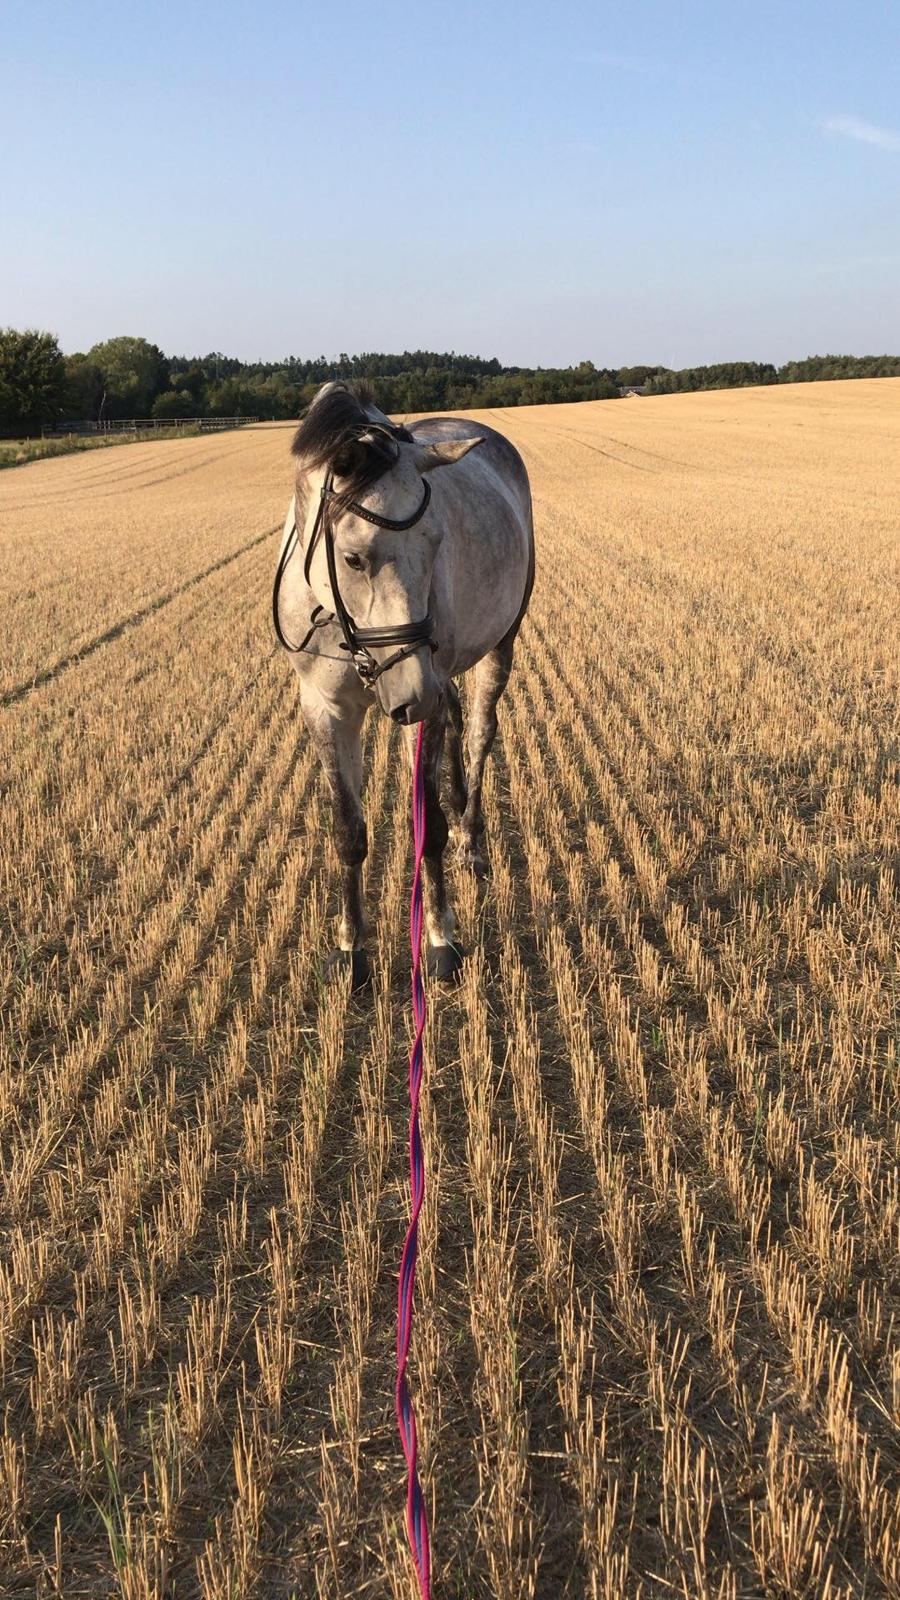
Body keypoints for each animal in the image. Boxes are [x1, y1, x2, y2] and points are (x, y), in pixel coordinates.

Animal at [269, 384, 528, 985]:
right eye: (353, 557)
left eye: (435, 542)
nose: (415, 692)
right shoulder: (325, 708)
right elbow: (348, 829)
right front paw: (350, 947)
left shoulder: (422, 704)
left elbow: (427, 826)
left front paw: (439, 936)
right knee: (456, 717)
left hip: (498, 646)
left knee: (477, 732)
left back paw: (472, 838)